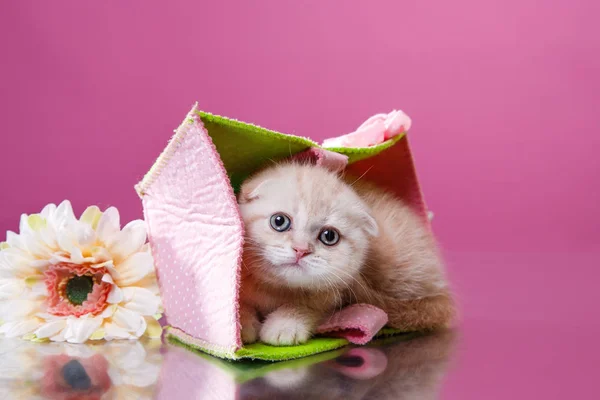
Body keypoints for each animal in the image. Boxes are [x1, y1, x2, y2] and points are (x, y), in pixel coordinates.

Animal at [237, 161, 452, 346]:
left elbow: (307, 306)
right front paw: (241, 326)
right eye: (279, 221)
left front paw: (285, 325)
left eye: (329, 236)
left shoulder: (335, 294)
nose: (301, 250)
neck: (277, 289)